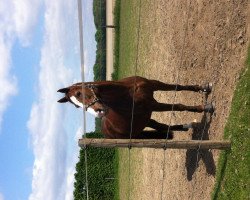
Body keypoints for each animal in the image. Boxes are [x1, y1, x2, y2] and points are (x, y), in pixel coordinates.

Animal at [57, 76, 213, 139]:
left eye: (78, 94)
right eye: (77, 106)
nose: (99, 112)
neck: (127, 92)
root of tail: (107, 134)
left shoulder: (154, 84)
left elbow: (177, 87)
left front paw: (204, 87)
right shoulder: (152, 105)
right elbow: (179, 106)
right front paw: (205, 108)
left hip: (145, 119)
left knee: (161, 126)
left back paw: (187, 126)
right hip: (139, 131)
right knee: (161, 127)